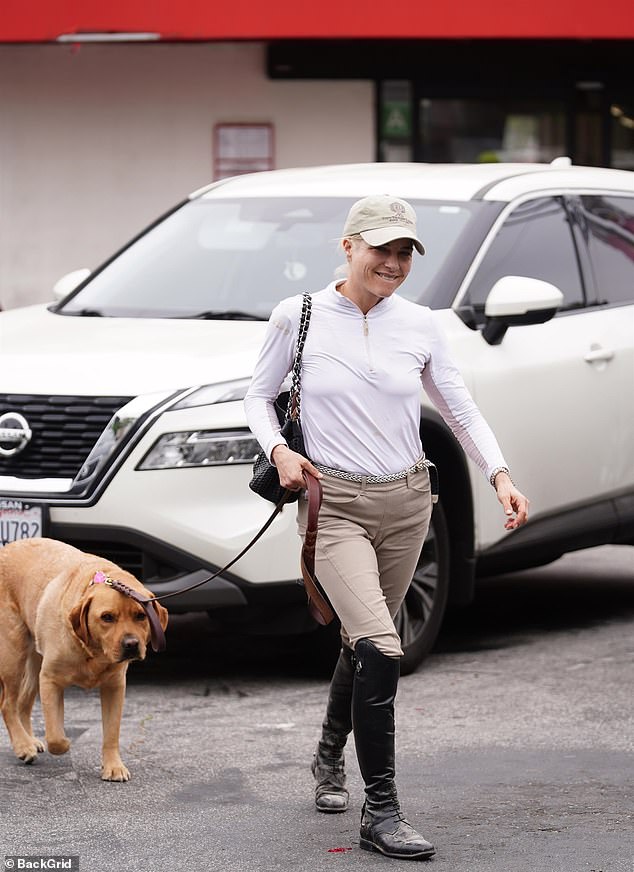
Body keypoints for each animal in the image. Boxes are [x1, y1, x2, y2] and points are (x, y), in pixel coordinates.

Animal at [0, 540, 168, 784]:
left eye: (140, 616)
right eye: (107, 617)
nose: (131, 644)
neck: (93, 652)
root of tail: (7, 547)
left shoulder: (114, 687)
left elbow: (111, 732)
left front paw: (113, 766)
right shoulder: (50, 680)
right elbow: (55, 736)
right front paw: (64, 743)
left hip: (33, 661)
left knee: (23, 703)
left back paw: (29, 740)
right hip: (14, 655)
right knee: (8, 704)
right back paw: (23, 746)